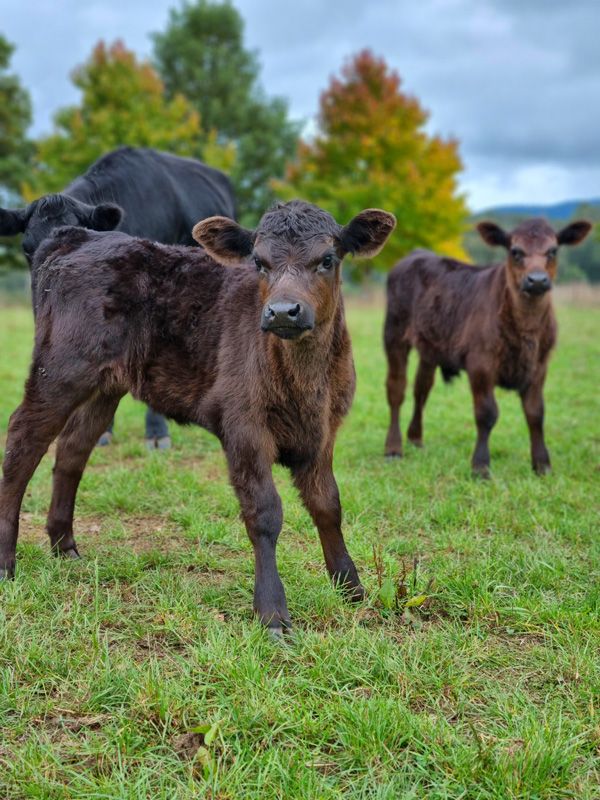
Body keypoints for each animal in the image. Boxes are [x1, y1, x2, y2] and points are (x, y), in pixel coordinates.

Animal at [0, 200, 396, 635]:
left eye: (327, 259)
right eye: (258, 262)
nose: (281, 312)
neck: (306, 382)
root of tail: (76, 236)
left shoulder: (325, 431)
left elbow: (328, 504)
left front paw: (351, 587)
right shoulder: (243, 427)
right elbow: (265, 513)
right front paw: (273, 613)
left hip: (105, 383)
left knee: (73, 448)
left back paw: (64, 546)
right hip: (59, 368)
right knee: (22, 443)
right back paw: (6, 562)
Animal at [383, 218, 592, 477]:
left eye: (553, 251)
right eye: (515, 252)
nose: (537, 280)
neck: (527, 329)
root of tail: (417, 253)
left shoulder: (539, 365)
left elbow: (536, 413)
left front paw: (542, 465)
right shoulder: (480, 362)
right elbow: (487, 413)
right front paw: (480, 466)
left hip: (430, 346)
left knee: (422, 388)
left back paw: (415, 438)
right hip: (394, 333)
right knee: (396, 388)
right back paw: (393, 448)